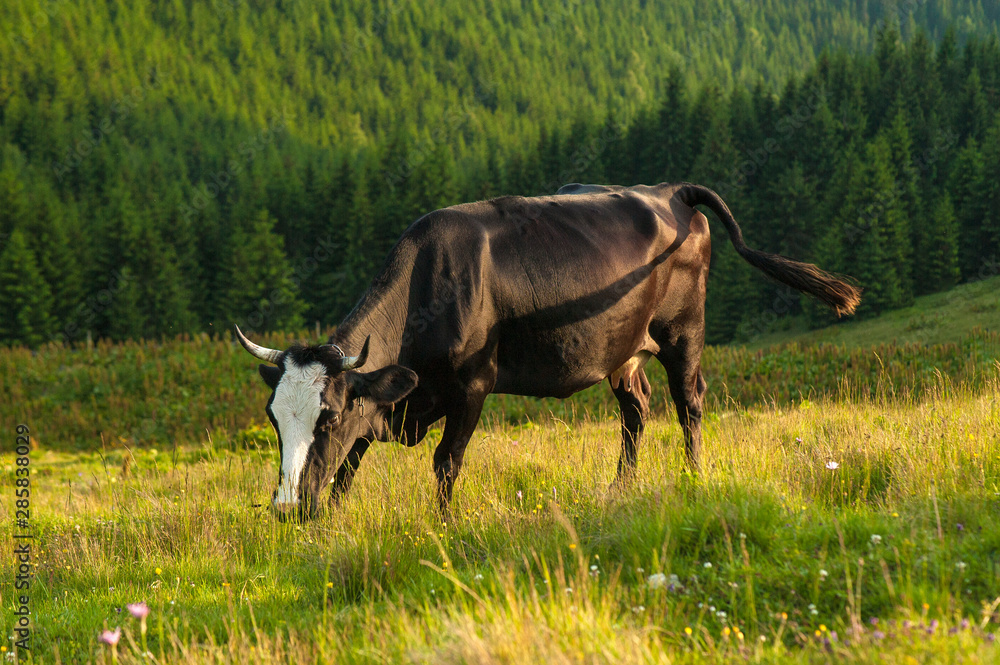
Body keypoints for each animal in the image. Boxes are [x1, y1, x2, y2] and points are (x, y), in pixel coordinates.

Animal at [236, 182, 860, 520]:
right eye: (274, 420)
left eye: (327, 416)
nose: (285, 509)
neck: (428, 284)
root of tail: (671, 191)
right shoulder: (386, 399)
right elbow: (346, 471)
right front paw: (329, 523)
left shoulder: (472, 385)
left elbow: (445, 462)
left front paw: (443, 528)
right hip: (624, 349)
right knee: (637, 409)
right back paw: (619, 490)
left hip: (684, 331)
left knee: (690, 403)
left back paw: (694, 479)